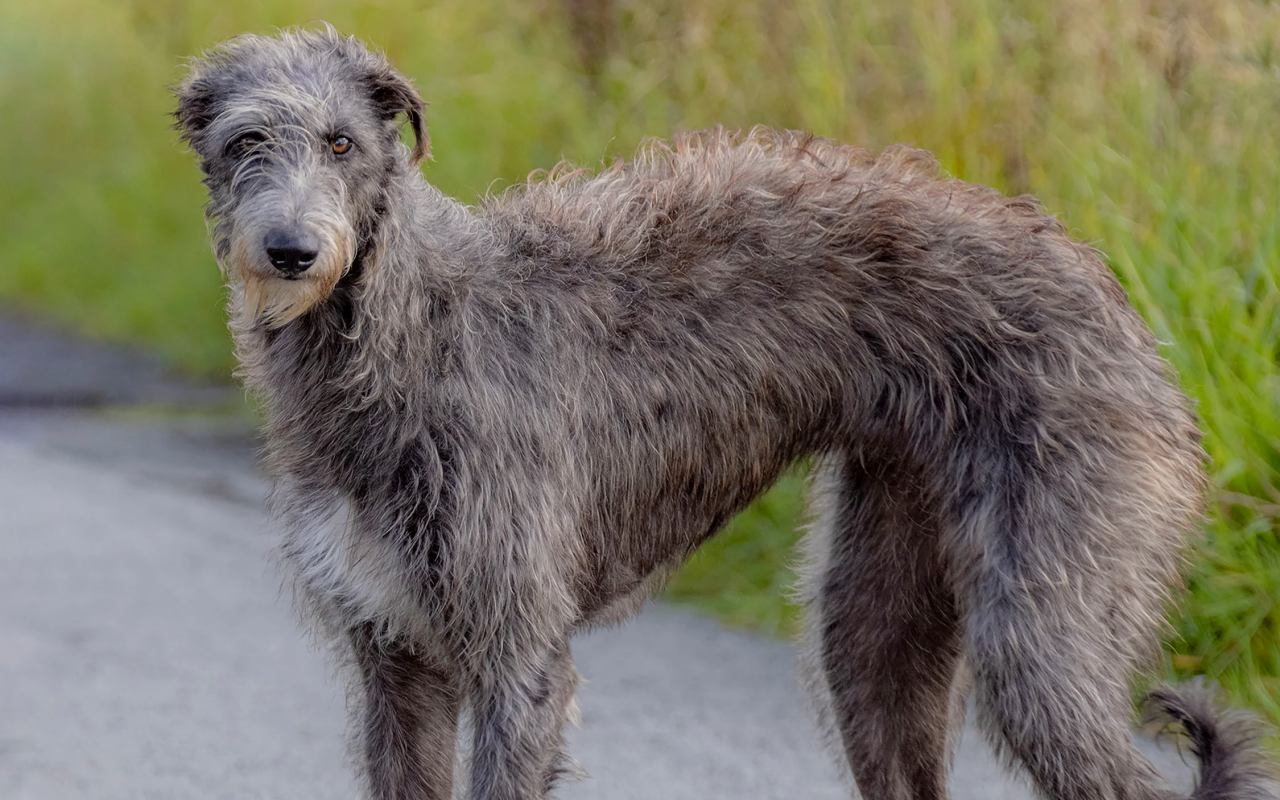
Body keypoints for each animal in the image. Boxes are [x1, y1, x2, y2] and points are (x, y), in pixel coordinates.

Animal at [175, 24, 1274, 798]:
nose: (291, 252)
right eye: (244, 141)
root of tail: (1125, 315)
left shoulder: (518, 654)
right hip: (876, 623)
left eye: (342, 142)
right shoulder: (394, 659)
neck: (407, 326)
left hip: (1045, 618)